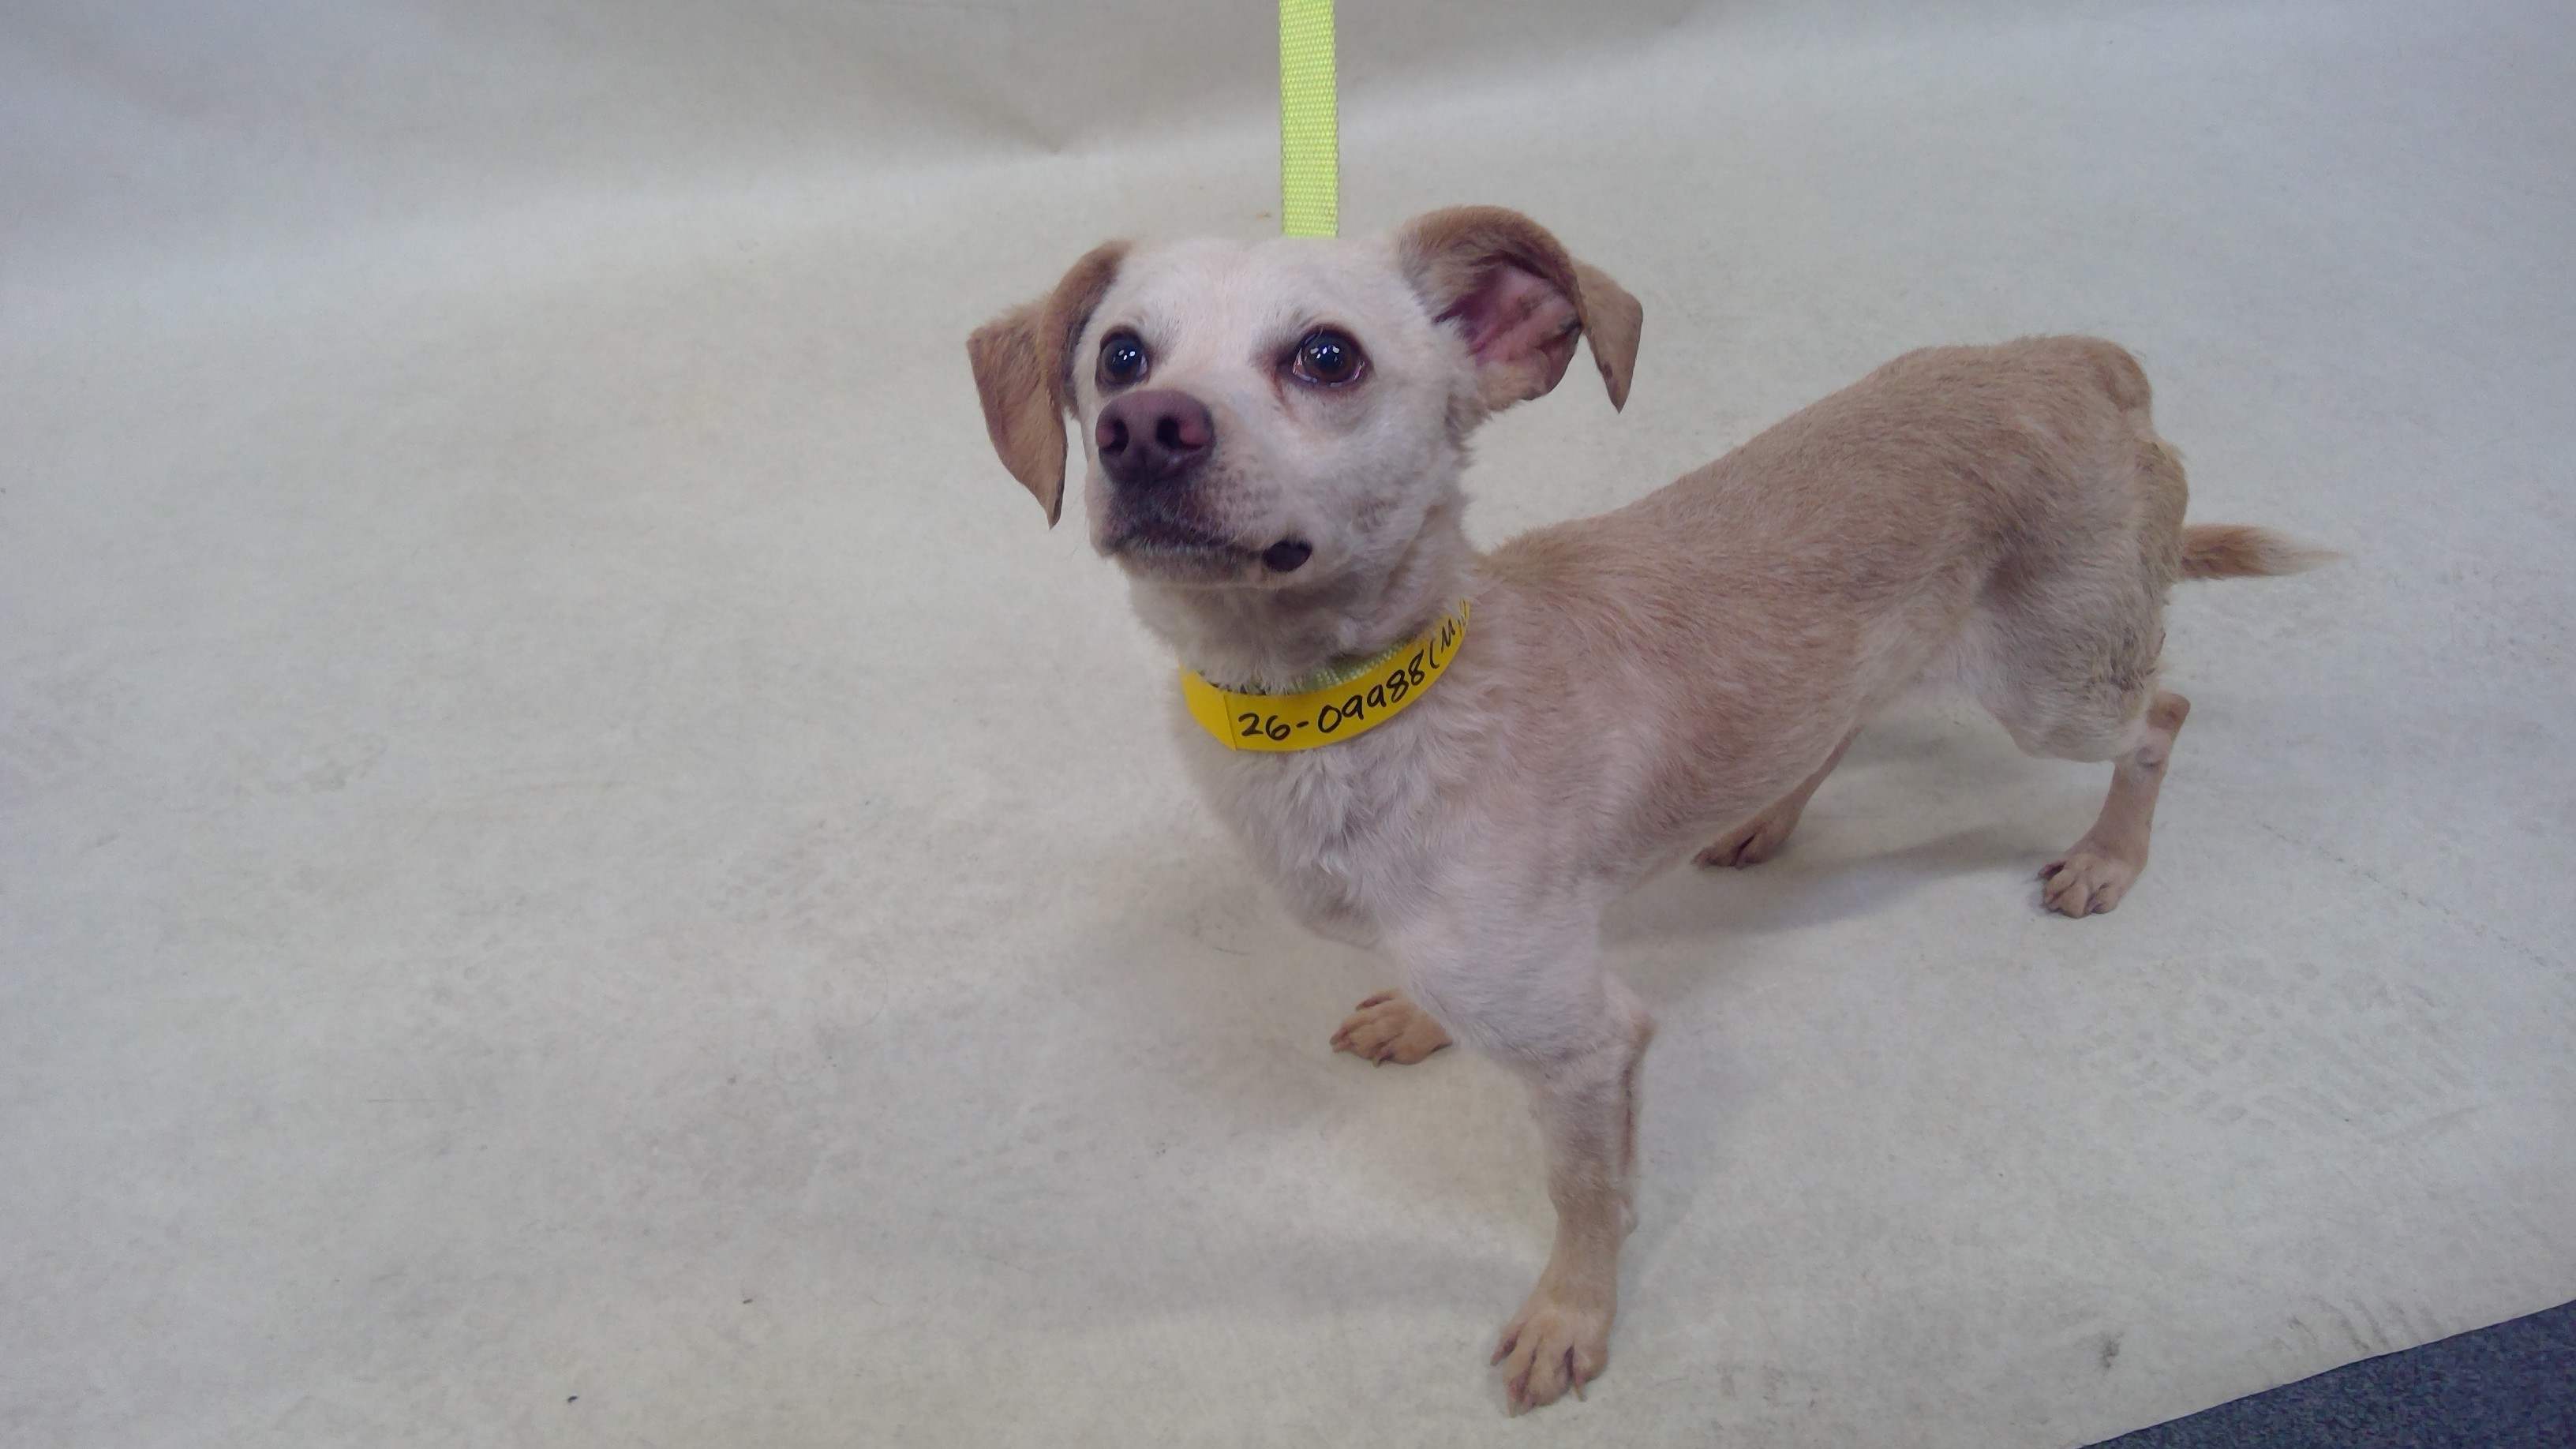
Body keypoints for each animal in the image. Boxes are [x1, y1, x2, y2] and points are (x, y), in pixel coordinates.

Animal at [966, 206, 2325, 1412]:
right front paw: (1416, 1015)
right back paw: (1769, 817)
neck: (1349, 722)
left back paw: (2109, 857)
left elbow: (1587, 1198)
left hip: (2059, 690)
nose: (1143, 429)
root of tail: (2079, 362)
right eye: (1118, 356)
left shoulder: (1586, 1050)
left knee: (2164, 712)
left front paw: (1572, 1318)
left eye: (1327, 356)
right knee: (1840, 716)